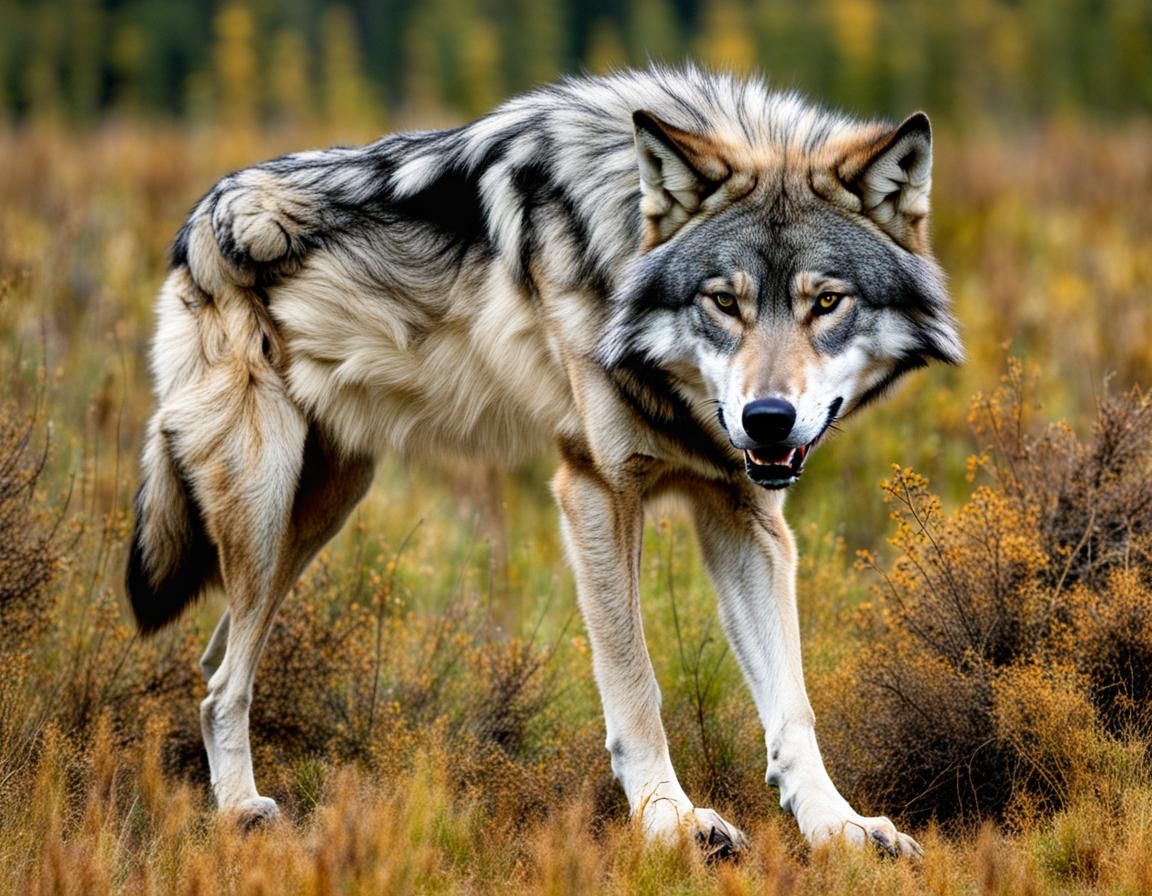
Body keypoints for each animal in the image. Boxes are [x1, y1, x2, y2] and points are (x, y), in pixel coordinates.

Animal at [126, 66, 961, 858]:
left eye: (827, 303)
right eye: (724, 302)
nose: (766, 419)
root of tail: (197, 220)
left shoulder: (744, 513)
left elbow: (792, 707)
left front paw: (840, 829)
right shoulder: (594, 489)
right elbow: (635, 684)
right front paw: (671, 823)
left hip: (323, 506)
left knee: (214, 658)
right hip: (266, 501)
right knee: (221, 683)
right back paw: (239, 813)